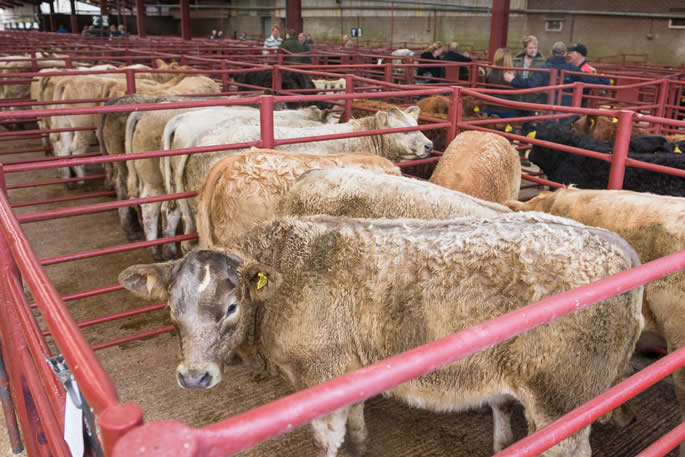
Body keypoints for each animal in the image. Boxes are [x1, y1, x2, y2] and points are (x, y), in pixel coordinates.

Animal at [119, 212, 644, 457]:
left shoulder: (321, 373)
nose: (194, 377)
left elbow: (324, 440)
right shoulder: (349, 370)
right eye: (172, 310)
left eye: (231, 308)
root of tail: (617, 248)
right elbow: (354, 422)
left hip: (562, 397)